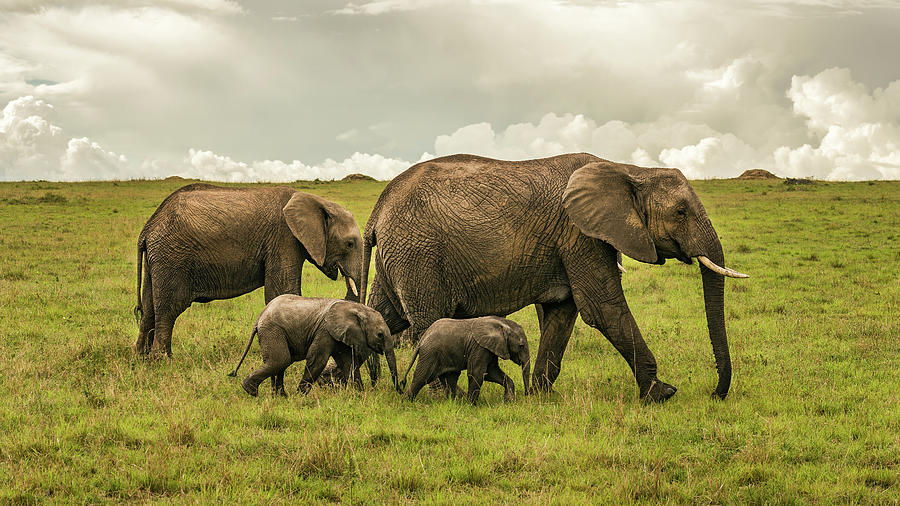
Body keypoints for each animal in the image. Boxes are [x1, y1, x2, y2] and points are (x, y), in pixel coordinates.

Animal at [133, 184, 362, 358]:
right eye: (350, 244)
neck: (316, 201)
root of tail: (148, 228)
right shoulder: (283, 239)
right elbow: (282, 291)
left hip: (157, 259)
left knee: (149, 307)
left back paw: (141, 358)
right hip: (172, 256)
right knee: (169, 308)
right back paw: (163, 360)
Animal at [229, 294, 400, 398]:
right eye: (380, 334)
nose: (400, 389)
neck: (356, 308)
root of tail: (260, 316)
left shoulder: (340, 334)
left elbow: (348, 363)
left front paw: (359, 394)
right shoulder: (325, 331)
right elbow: (317, 360)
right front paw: (299, 396)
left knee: (279, 363)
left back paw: (280, 397)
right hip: (273, 330)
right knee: (281, 360)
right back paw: (250, 390)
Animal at [400, 318, 528, 406]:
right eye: (521, 346)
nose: (527, 395)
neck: (501, 323)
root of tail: (422, 339)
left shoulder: (490, 348)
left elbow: (491, 372)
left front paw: (508, 400)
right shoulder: (479, 347)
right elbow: (477, 373)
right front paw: (472, 405)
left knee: (449, 378)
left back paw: (452, 402)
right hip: (430, 353)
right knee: (422, 377)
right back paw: (406, 402)